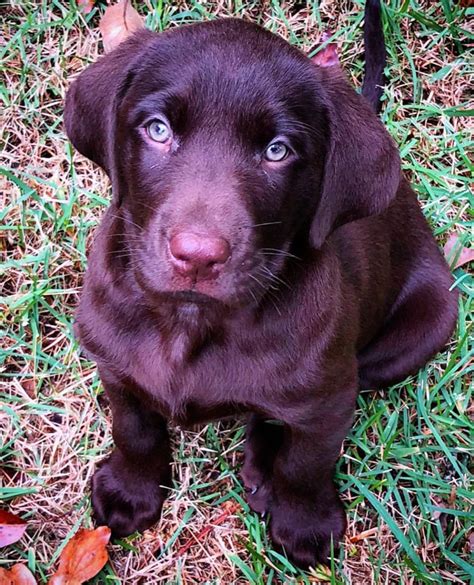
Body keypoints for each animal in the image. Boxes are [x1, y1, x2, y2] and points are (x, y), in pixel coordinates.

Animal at [65, 0, 458, 564]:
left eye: (277, 150)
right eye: (158, 130)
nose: (198, 256)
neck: (191, 320)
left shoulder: (329, 399)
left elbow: (306, 463)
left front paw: (305, 523)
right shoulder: (116, 364)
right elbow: (134, 429)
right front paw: (129, 491)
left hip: (425, 326)